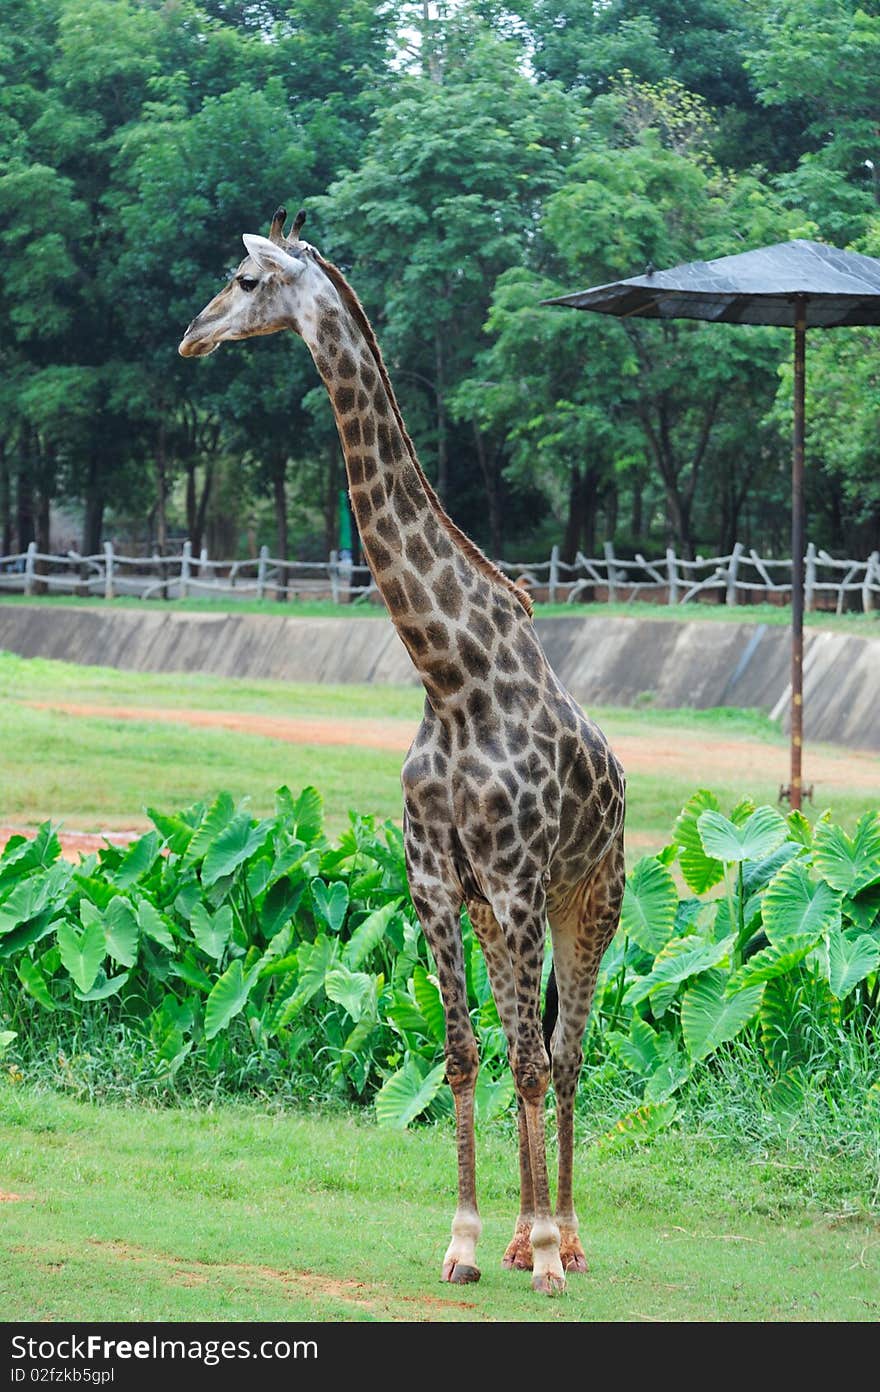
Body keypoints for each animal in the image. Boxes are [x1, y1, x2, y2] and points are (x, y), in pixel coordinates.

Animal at [178, 203, 626, 1291]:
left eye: (244, 283)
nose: (192, 336)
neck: (450, 676)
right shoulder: (436, 881)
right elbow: (465, 1053)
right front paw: (465, 1242)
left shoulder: (512, 882)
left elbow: (528, 1059)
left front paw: (542, 1258)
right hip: (520, 914)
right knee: (532, 1046)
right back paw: (521, 1231)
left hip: (589, 904)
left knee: (567, 1053)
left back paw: (566, 1237)